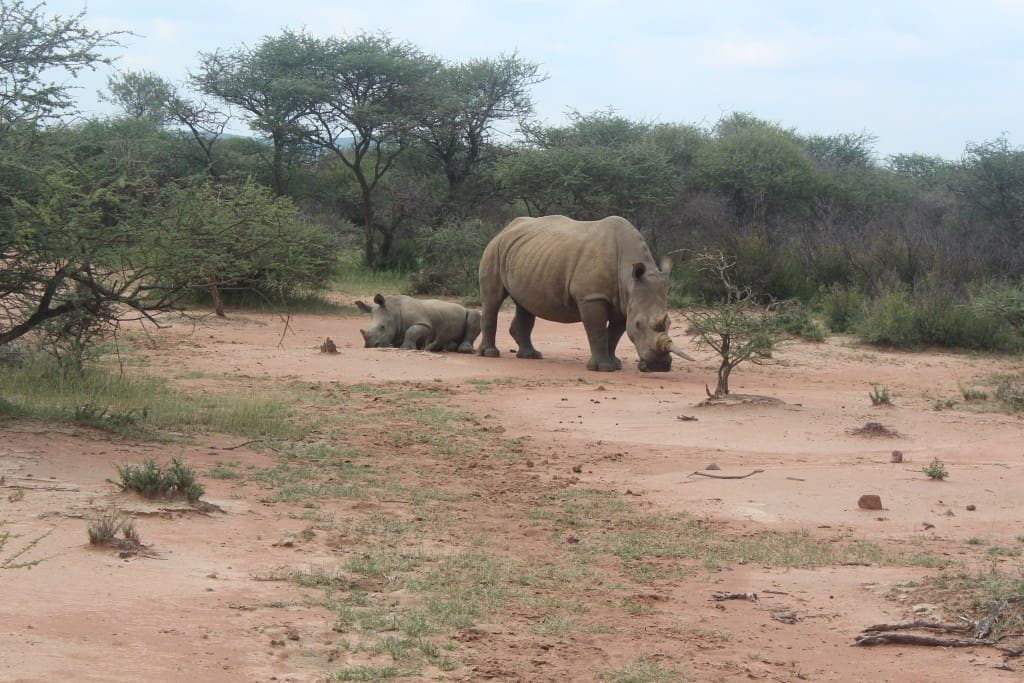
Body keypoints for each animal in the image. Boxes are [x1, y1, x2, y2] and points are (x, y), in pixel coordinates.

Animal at [477, 215, 694, 372]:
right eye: (639, 324)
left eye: (670, 323)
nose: (659, 366)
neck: (628, 278)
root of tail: (504, 230)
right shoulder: (591, 297)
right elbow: (597, 330)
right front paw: (603, 368)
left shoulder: (623, 302)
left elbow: (614, 334)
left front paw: (615, 364)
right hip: (494, 249)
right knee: (493, 299)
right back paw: (490, 354)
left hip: (526, 255)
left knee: (525, 304)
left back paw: (531, 356)